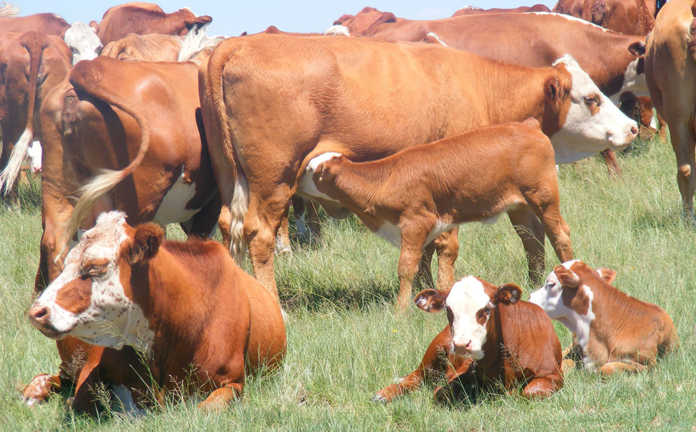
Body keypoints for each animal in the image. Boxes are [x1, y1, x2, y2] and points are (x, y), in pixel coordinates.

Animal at [26, 211, 286, 412]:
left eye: (94, 267)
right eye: (65, 263)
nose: (37, 311)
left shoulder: (233, 383)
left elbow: (205, 408)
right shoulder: (92, 369)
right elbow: (78, 402)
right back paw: (34, 392)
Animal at [306, 119, 573, 309]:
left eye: (310, 170)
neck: (388, 179)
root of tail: (528, 124)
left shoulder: (415, 223)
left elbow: (407, 267)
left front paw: (401, 311)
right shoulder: (431, 230)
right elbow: (425, 264)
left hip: (543, 197)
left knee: (559, 235)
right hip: (520, 207)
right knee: (532, 239)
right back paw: (533, 282)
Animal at [374, 276, 563, 402]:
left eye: (486, 309)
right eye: (448, 310)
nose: (461, 344)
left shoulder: (552, 374)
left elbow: (530, 391)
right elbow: (442, 392)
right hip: (433, 352)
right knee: (415, 377)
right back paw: (384, 394)